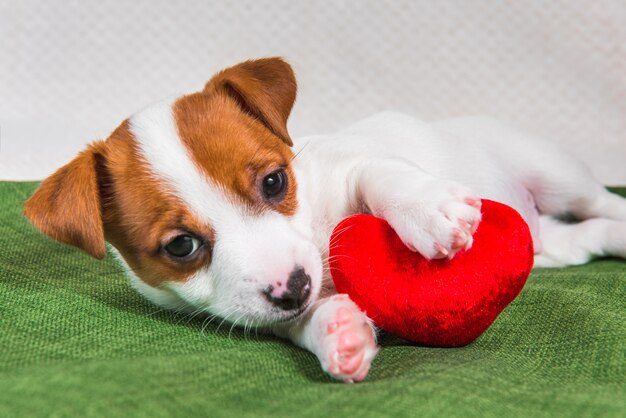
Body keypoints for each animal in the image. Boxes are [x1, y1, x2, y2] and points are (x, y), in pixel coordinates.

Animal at [25, 58, 626, 382]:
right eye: (180, 247)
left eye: (274, 182)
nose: (293, 287)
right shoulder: (275, 312)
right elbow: (304, 320)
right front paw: (339, 334)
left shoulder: (356, 165)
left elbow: (385, 176)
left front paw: (430, 211)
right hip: (552, 248)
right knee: (586, 238)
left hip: (556, 176)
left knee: (602, 203)